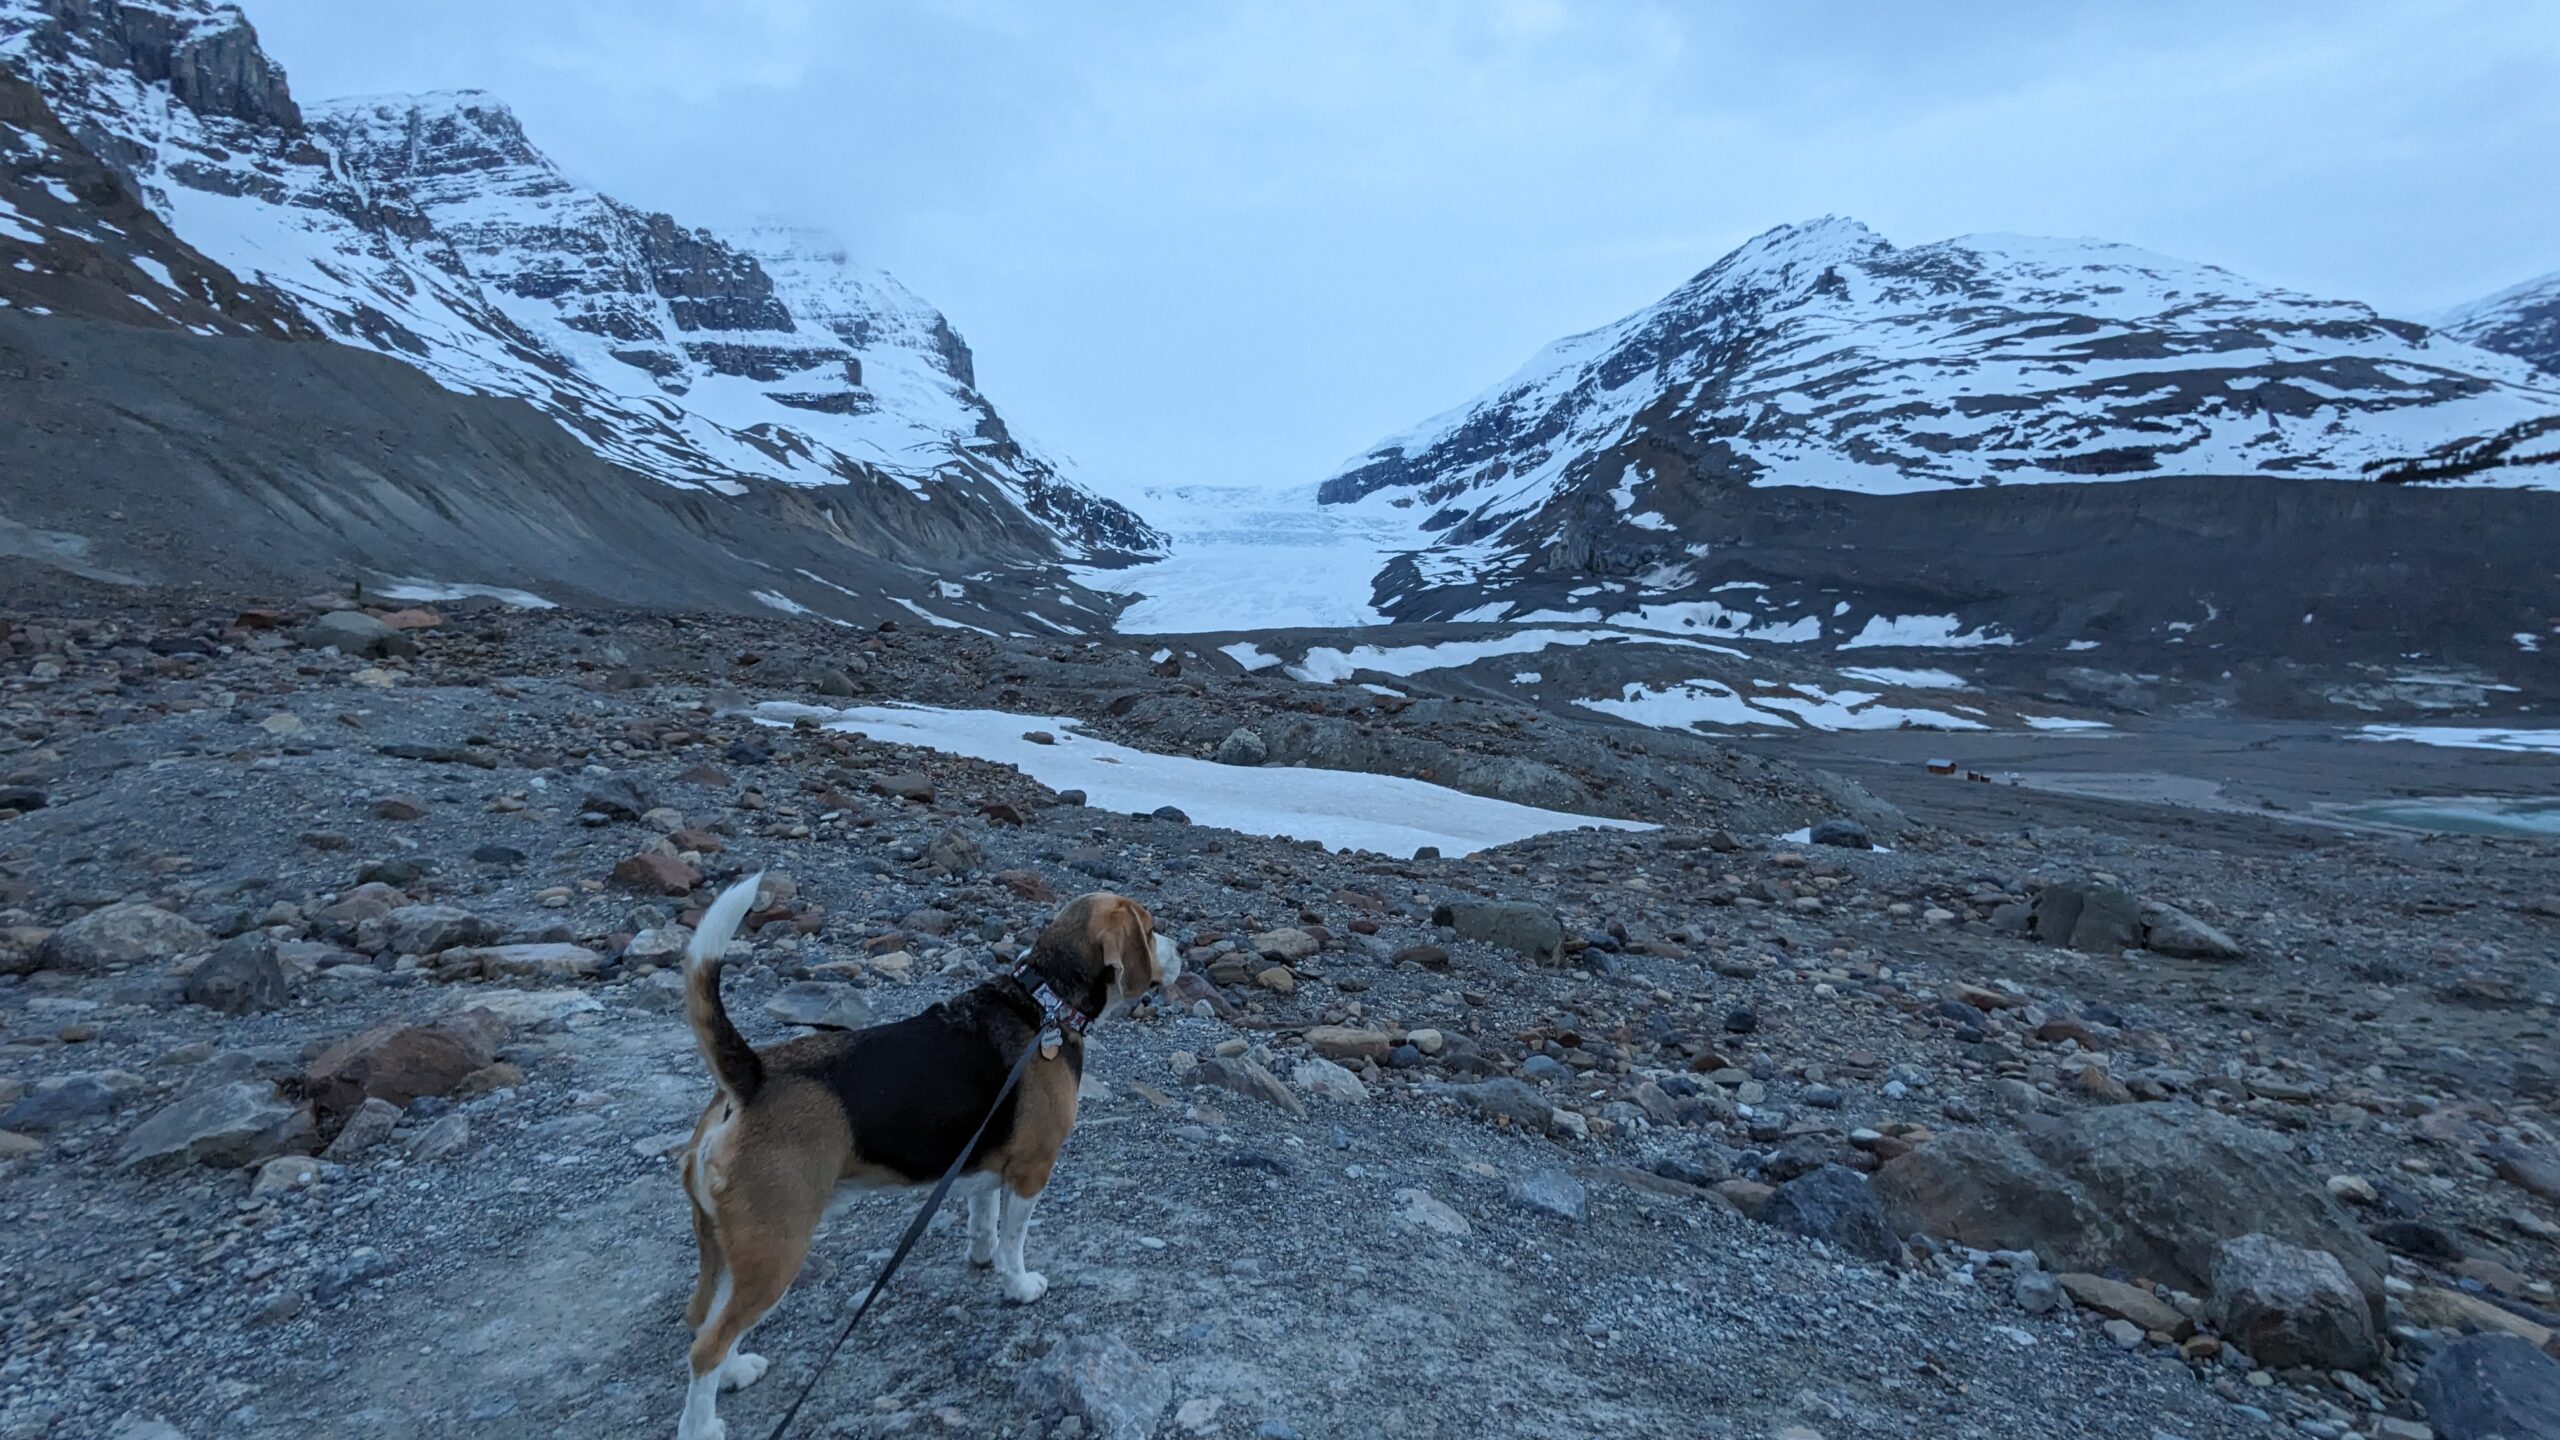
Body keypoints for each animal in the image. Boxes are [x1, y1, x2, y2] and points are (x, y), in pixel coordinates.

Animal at [670, 871, 1172, 1424]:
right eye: (1151, 931)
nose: (1177, 951)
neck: (1045, 1003)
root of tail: (753, 1080)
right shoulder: (1031, 1169)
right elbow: (1014, 1240)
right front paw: (1018, 1285)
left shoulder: (986, 1162)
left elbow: (983, 1219)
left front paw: (982, 1258)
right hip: (776, 1249)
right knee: (706, 1347)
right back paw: (703, 1425)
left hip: (726, 1245)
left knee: (703, 1318)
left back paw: (736, 1372)